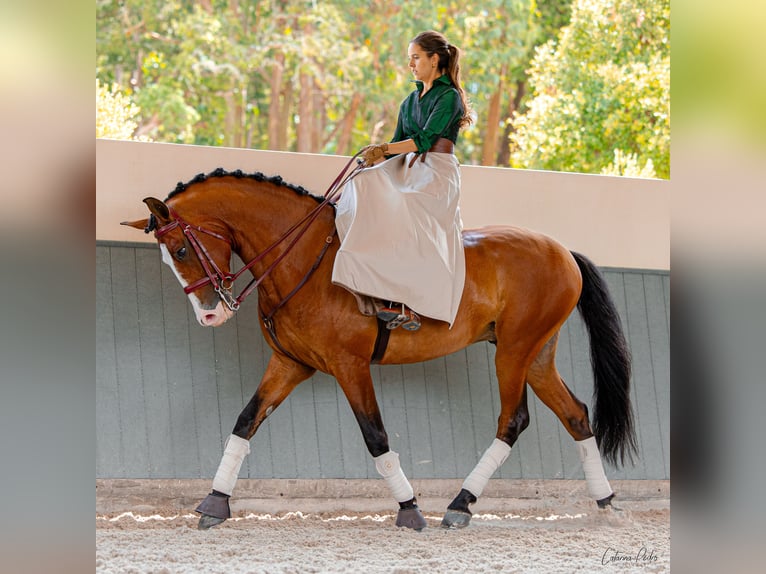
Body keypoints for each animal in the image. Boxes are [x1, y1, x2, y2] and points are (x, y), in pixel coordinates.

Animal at [123, 165, 640, 532]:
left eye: (182, 250)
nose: (210, 315)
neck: (305, 260)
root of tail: (563, 251)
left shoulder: (349, 366)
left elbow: (375, 436)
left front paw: (410, 508)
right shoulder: (290, 363)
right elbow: (245, 422)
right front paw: (215, 502)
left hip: (512, 353)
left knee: (513, 421)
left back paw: (460, 505)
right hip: (536, 354)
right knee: (575, 415)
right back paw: (605, 504)